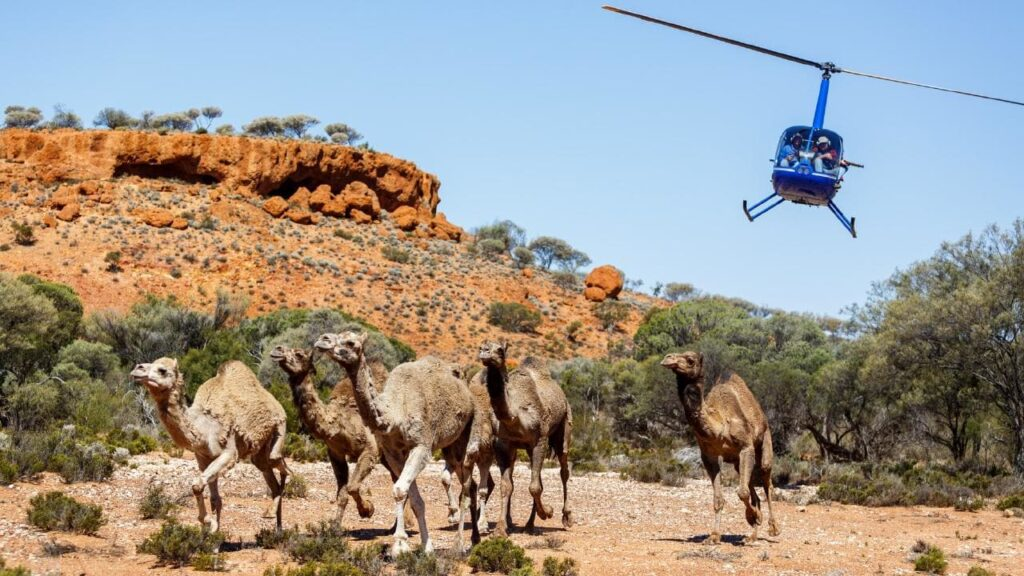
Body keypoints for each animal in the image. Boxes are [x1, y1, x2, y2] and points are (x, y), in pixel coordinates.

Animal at [131, 356, 288, 532]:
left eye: (162, 370)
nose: (137, 368)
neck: (204, 428)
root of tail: (275, 401)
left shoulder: (229, 453)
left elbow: (198, 484)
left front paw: (208, 522)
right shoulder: (203, 457)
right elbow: (213, 497)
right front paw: (213, 531)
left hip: (280, 425)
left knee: (278, 461)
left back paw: (275, 511)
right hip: (260, 450)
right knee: (268, 472)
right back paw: (277, 526)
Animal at [315, 330, 475, 553]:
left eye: (351, 342)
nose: (323, 340)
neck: (395, 413)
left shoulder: (422, 447)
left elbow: (399, 490)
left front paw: (399, 545)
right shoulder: (393, 453)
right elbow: (412, 498)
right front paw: (425, 547)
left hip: (462, 437)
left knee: (467, 488)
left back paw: (461, 542)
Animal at [475, 338, 573, 537]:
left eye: (500, 350)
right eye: (481, 346)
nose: (484, 351)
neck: (515, 416)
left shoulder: (540, 440)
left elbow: (534, 487)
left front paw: (548, 512)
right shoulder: (503, 445)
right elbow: (507, 486)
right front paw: (500, 529)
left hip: (564, 426)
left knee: (564, 469)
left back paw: (566, 517)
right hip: (526, 448)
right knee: (538, 478)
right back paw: (528, 524)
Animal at [659, 350, 778, 541]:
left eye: (690, 360)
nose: (667, 358)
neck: (719, 426)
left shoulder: (746, 447)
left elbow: (742, 492)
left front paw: (755, 517)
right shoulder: (709, 456)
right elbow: (719, 498)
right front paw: (714, 536)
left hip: (765, 440)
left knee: (767, 482)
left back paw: (773, 528)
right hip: (736, 462)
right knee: (751, 488)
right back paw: (751, 536)